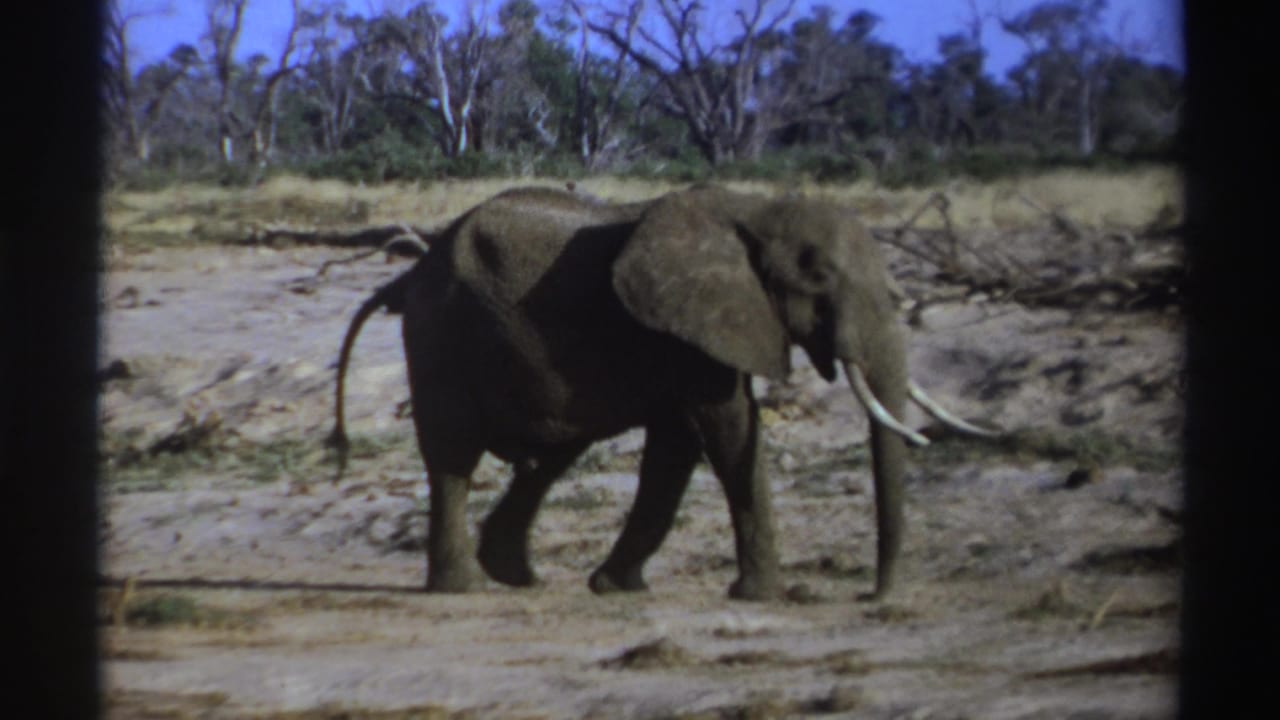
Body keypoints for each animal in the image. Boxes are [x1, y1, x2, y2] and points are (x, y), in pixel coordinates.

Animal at [329, 185, 995, 601]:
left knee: (552, 453)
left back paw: (517, 576)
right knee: (453, 456)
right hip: (440, 337)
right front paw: (766, 596)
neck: (758, 209)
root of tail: (409, 274)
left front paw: (618, 587)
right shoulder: (692, 328)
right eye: (820, 281)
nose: (869, 597)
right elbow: (727, 428)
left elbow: (677, 446)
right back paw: (465, 587)